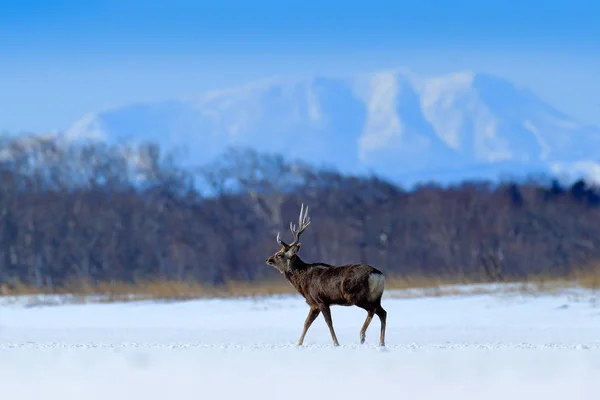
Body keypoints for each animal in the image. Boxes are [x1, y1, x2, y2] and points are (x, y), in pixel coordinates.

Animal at [264, 203, 386, 346]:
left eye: (279, 254)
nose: (267, 259)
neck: (302, 281)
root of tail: (378, 275)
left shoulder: (320, 300)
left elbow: (328, 323)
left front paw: (336, 343)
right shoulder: (314, 304)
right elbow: (306, 323)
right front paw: (298, 344)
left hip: (356, 295)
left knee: (372, 310)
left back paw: (362, 336)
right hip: (376, 297)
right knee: (383, 313)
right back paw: (381, 343)